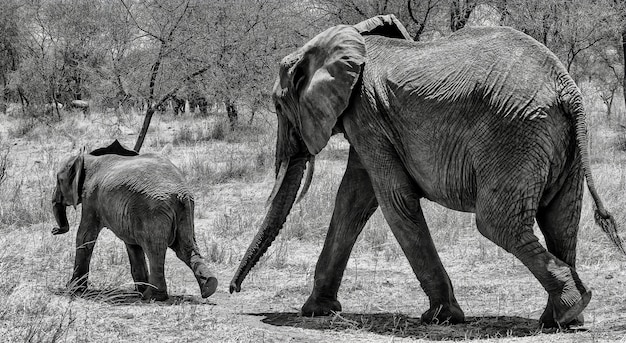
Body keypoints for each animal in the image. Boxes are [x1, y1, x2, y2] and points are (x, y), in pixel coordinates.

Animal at [51, 140, 217, 300]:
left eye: (59, 179)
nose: (54, 230)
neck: (89, 158)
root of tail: (180, 194)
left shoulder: (91, 199)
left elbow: (84, 237)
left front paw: (73, 290)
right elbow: (132, 245)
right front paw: (139, 289)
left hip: (154, 212)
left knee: (155, 250)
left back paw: (153, 296)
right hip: (185, 211)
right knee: (185, 248)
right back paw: (209, 286)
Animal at [230, 16, 624, 328]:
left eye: (277, 105)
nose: (233, 290)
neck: (349, 38)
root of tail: (567, 87)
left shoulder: (367, 113)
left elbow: (393, 200)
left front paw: (441, 317)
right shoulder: (369, 122)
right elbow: (353, 200)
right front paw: (316, 311)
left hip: (515, 133)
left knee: (497, 223)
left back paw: (569, 309)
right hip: (558, 140)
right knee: (561, 219)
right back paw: (563, 318)